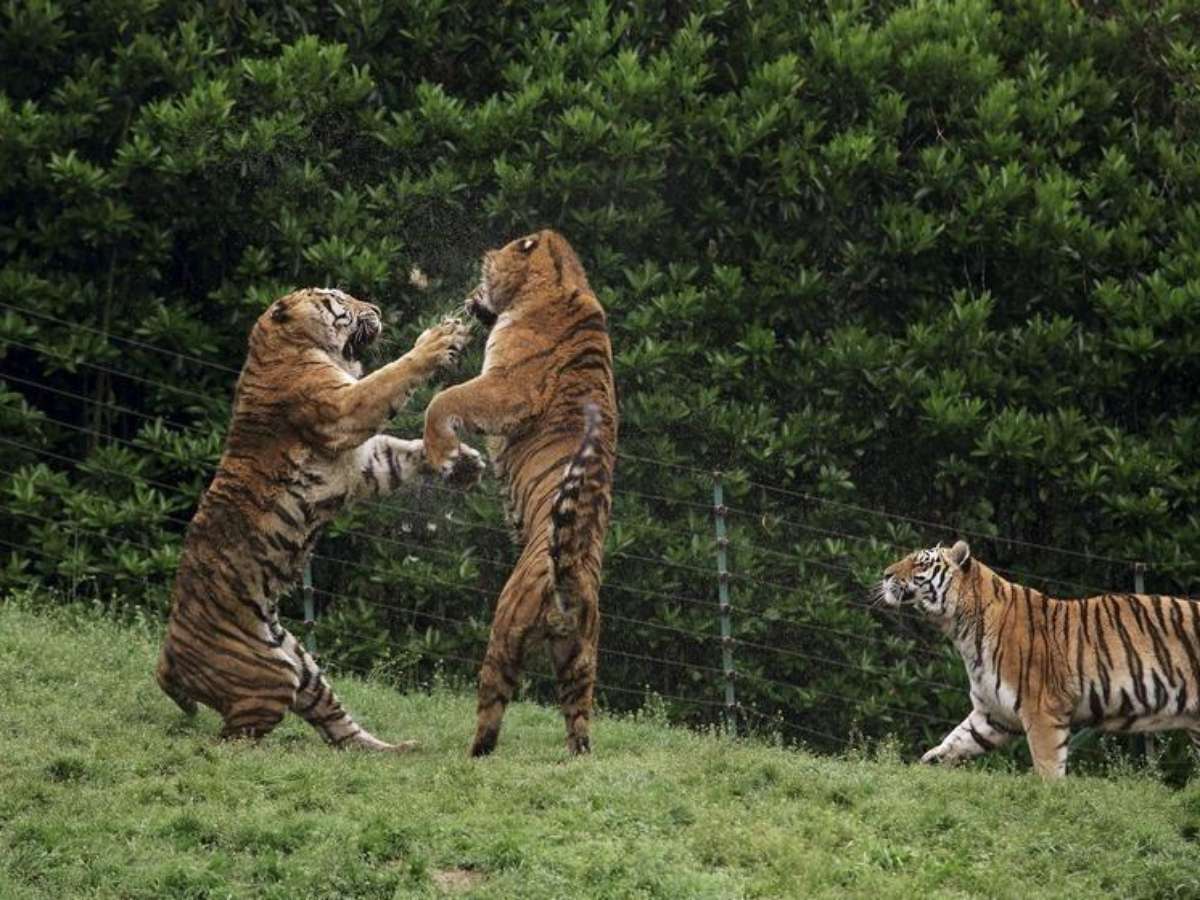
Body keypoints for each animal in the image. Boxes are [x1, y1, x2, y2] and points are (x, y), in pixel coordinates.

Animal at [154, 286, 482, 748]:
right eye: (337, 299)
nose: (376, 308)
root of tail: (166, 655)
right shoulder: (345, 409)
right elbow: (392, 375)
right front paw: (439, 339)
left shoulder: (368, 463)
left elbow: (406, 450)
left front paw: (465, 462)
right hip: (270, 680)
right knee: (234, 737)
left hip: (304, 667)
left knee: (340, 730)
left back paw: (400, 749)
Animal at [422, 229, 619, 758]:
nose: (473, 292)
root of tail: (570, 579)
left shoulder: (505, 387)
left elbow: (442, 401)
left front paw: (447, 458)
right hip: (579, 660)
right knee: (580, 726)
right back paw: (576, 758)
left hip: (505, 633)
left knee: (491, 710)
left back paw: (472, 755)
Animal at [873, 542, 1200, 782]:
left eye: (920, 563)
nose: (885, 574)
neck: (961, 628)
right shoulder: (993, 713)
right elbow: (955, 741)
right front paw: (925, 764)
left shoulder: (1042, 709)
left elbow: (1047, 766)